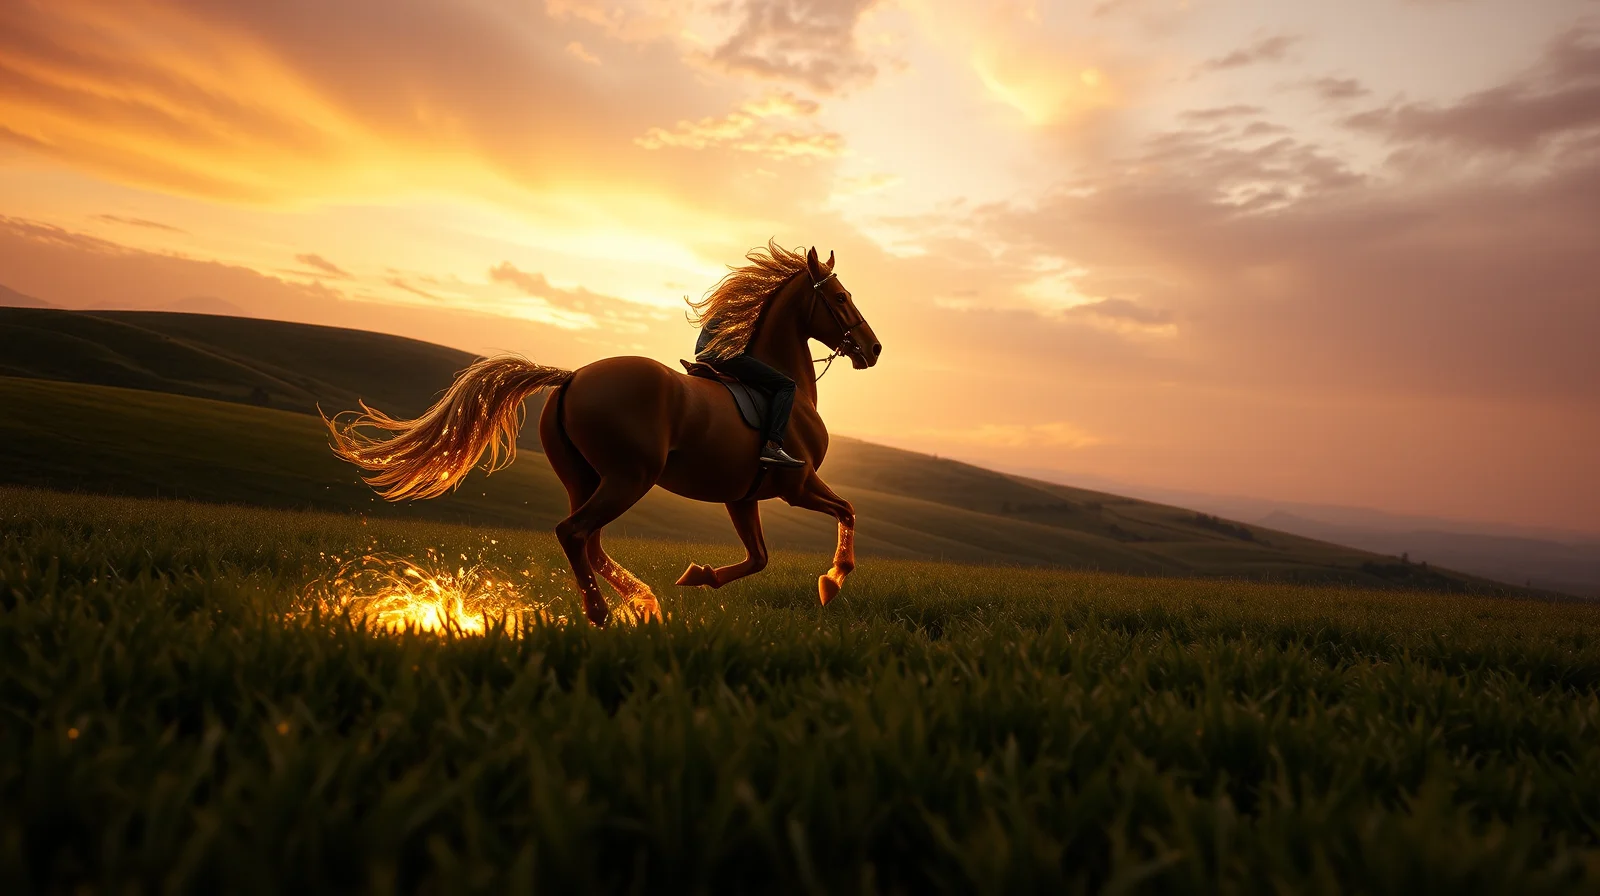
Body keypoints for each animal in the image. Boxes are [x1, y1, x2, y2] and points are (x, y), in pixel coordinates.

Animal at [324, 242, 882, 626]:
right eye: (840, 297)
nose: (873, 349)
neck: (788, 386)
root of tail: (572, 377)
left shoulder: (742, 498)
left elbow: (759, 558)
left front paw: (697, 576)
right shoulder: (796, 485)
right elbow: (847, 511)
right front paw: (832, 581)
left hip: (586, 478)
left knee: (587, 542)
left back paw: (642, 600)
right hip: (628, 478)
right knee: (575, 534)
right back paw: (603, 612)